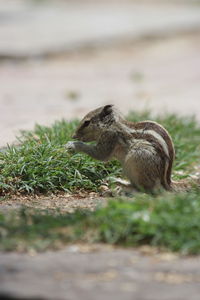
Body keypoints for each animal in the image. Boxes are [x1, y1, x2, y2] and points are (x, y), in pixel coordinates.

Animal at [66, 104, 198, 193]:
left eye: (86, 122)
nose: (73, 135)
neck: (111, 125)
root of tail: (166, 184)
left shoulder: (110, 136)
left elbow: (100, 154)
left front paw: (73, 145)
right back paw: (119, 181)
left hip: (137, 160)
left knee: (144, 189)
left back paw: (124, 188)